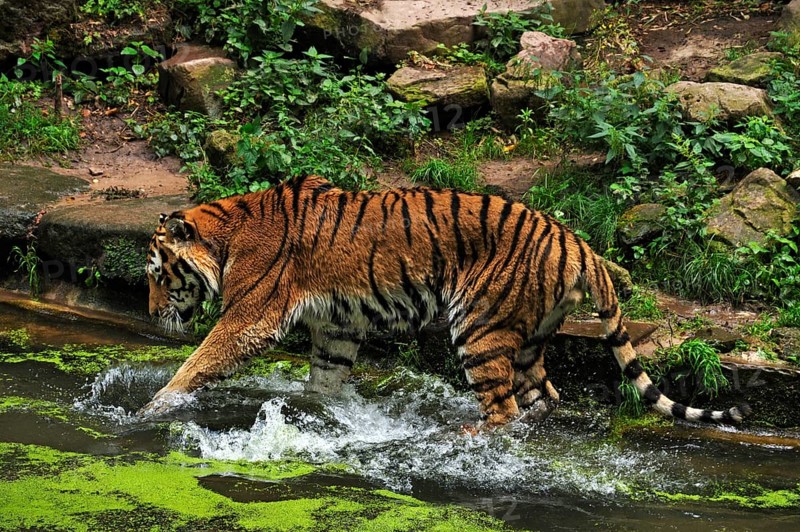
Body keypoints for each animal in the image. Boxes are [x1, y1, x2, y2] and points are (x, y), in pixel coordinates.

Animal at [139, 174, 750, 430]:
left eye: (158, 275)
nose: (149, 313)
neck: (226, 238)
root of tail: (576, 241)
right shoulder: (337, 327)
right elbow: (324, 381)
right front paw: (318, 413)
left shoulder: (251, 315)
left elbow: (199, 362)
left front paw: (149, 409)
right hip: (528, 340)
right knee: (541, 399)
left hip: (479, 325)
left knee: (502, 409)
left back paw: (457, 437)